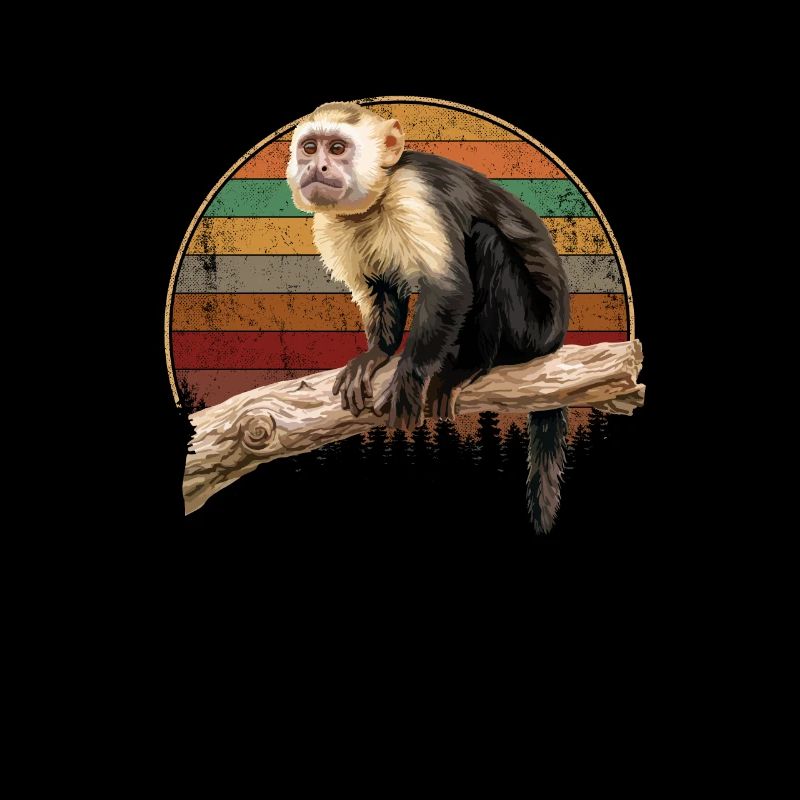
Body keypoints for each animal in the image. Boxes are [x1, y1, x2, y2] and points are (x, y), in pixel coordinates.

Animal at [286, 102, 571, 533]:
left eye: (336, 148)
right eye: (309, 148)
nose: (317, 167)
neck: (378, 196)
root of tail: (557, 338)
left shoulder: (415, 193)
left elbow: (449, 288)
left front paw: (409, 375)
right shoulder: (334, 226)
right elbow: (380, 288)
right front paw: (377, 354)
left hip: (534, 329)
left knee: (486, 242)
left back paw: (472, 364)